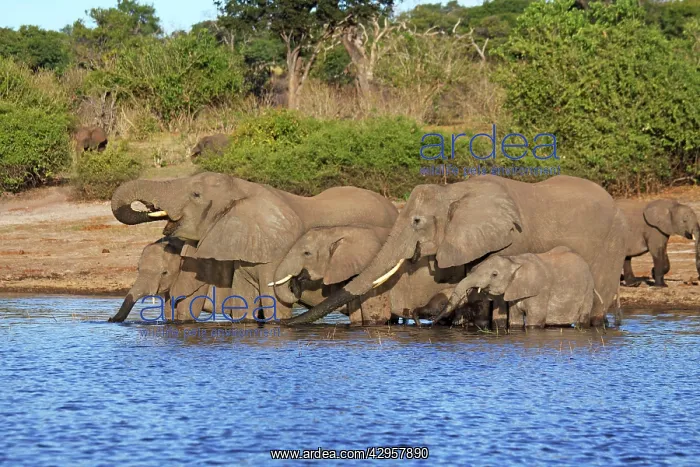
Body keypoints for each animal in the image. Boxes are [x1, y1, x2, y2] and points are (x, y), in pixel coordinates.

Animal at [433, 246, 598, 328]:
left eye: (494, 274)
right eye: (474, 269)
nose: (431, 323)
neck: (514, 260)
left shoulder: (540, 291)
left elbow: (534, 321)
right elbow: (515, 320)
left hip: (588, 290)